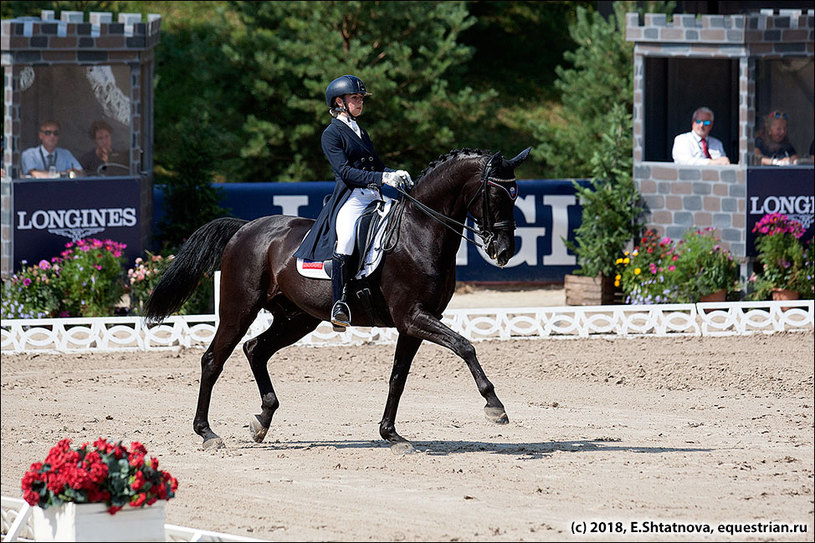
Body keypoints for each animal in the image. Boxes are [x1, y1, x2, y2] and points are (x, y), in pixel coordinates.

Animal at [144, 147, 532, 452]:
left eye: (516, 195)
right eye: (495, 195)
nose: (503, 252)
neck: (420, 231)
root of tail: (246, 227)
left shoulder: (412, 323)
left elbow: (398, 377)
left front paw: (392, 435)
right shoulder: (413, 316)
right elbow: (465, 345)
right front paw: (495, 406)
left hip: (297, 318)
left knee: (256, 349)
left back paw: (262, 420)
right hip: (239, 309)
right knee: (213, 360)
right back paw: (207, 433)